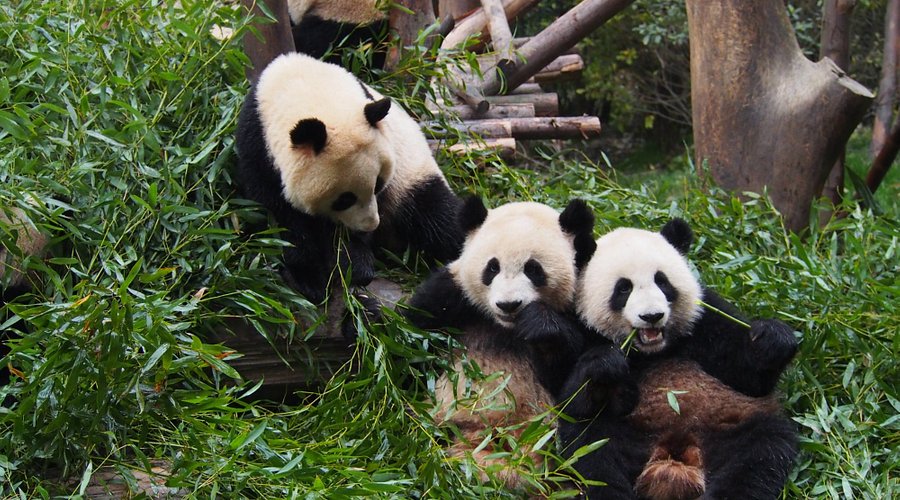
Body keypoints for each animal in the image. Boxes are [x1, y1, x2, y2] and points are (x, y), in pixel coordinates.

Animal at [235, 52, 462, 305]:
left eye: (378, 184)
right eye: (344, 199)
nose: (371, 224)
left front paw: (355, 266)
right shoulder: (258, 150)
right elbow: (283, 220)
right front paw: (309, 279)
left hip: (413, 178)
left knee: (440, 218)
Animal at [406, 196, 596, 487]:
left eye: (533, 269)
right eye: (492, 267)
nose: (509, 305)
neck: (506, 328)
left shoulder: (578, 311)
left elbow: (571, 380)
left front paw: (541, 327)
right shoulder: (451, 296)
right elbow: (411, 339)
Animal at [558, 219, 798, 500]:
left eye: (662, 282)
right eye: (624, 288)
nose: (652, 316)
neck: (653, 350)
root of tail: (677, 450)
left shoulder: (704, 319)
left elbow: (748, 377)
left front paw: (772, 338)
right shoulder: (581, 327)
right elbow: (571, 398)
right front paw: (606, 365)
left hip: (732, 426)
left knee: (759, 456)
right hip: (629, 432)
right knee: (594, 452)